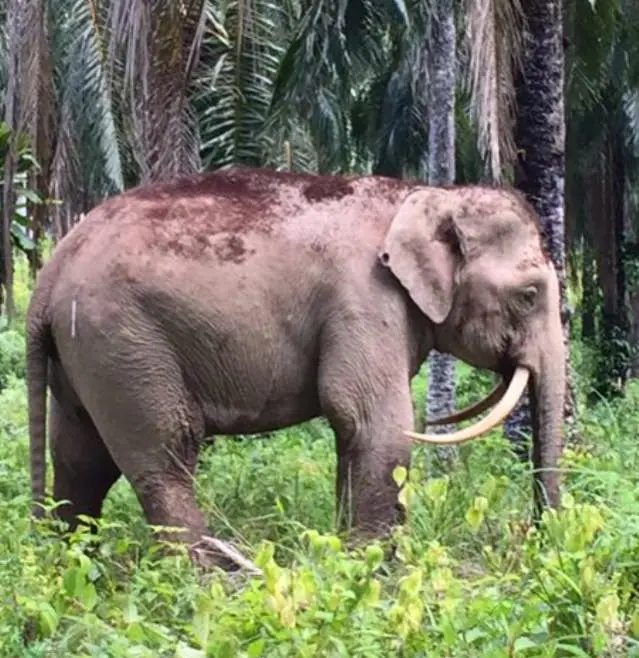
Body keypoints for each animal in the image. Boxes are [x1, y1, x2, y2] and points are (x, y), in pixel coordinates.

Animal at [25, 167, 565, 568]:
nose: (538, 543)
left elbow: (357, 432)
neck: (427, 194)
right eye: (529, 295)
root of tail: (50, 275)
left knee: (80, 459)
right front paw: (371, 571)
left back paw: (75, 570)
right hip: (125, 342)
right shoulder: (364, 299)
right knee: (165, 454)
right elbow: (374, 423)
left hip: (86, 354)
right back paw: (215, 578)